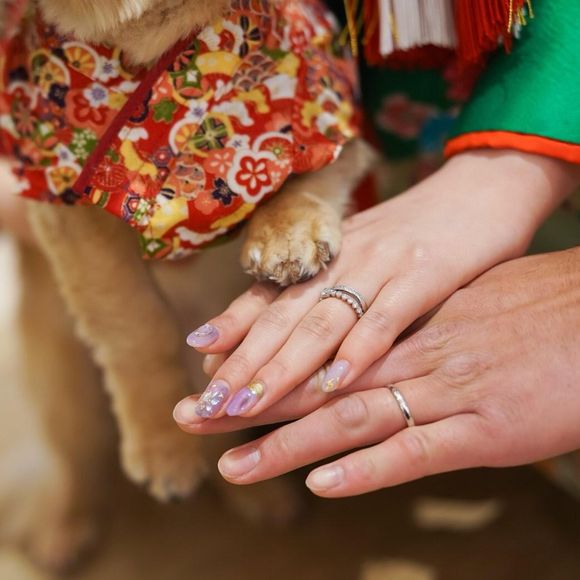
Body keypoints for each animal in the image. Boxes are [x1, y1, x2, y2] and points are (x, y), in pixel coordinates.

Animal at [0, 0, 374, 570]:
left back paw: (260, 495)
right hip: (65, 390)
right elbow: (136, 326)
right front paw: (164, 453)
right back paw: (61, 528)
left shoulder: (326, 117)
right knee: (79, 467)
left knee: (219, 443)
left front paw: (288, 235)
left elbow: (299, 179)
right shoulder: (70, 208)